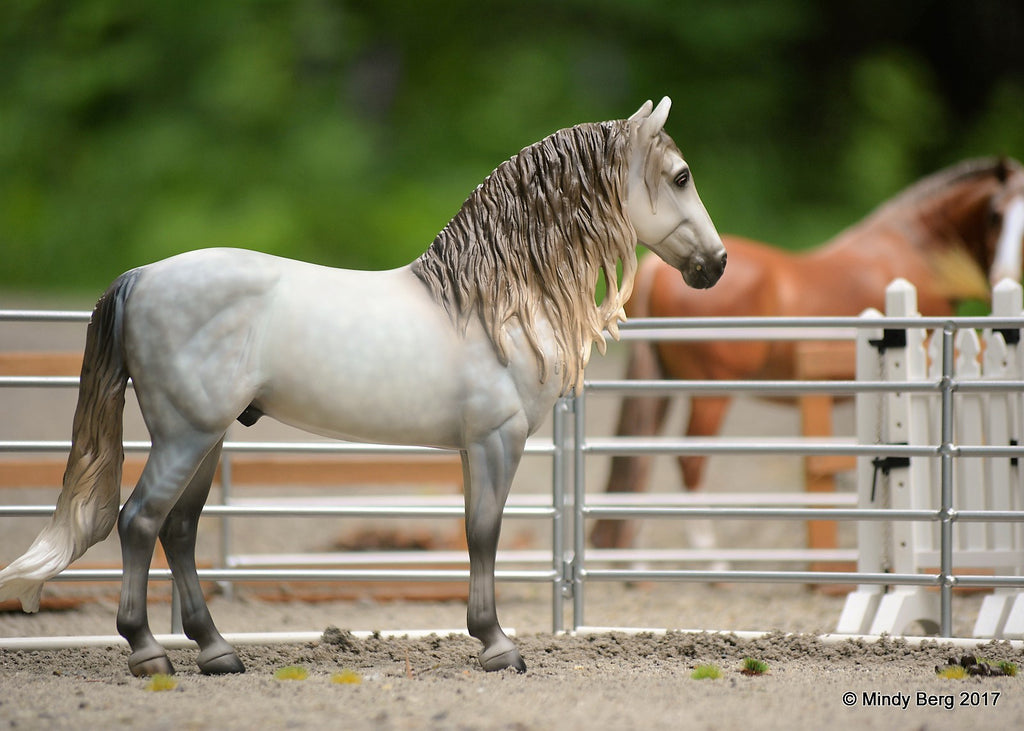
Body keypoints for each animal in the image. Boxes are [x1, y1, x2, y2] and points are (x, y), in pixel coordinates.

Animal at [0, 96, 729, 671]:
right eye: (681, 176)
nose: (716, 265)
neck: (492, 304)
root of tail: (142, 276)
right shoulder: (497, 440)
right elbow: (484, 532)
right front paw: (498, 645)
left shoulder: (478, 446)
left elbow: (476, 532)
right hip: (186, 436)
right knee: (139, 522)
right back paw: (149, 652)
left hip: (204, 439)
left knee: (178, 530)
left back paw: (216, 651)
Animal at [589, 156, 1024, 548]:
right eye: (995, 216)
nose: (1003, 278)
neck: (916, 250)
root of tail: (655, 270)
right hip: (711, 395)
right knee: (689, 462)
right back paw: (711, 561)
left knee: (639, 455)